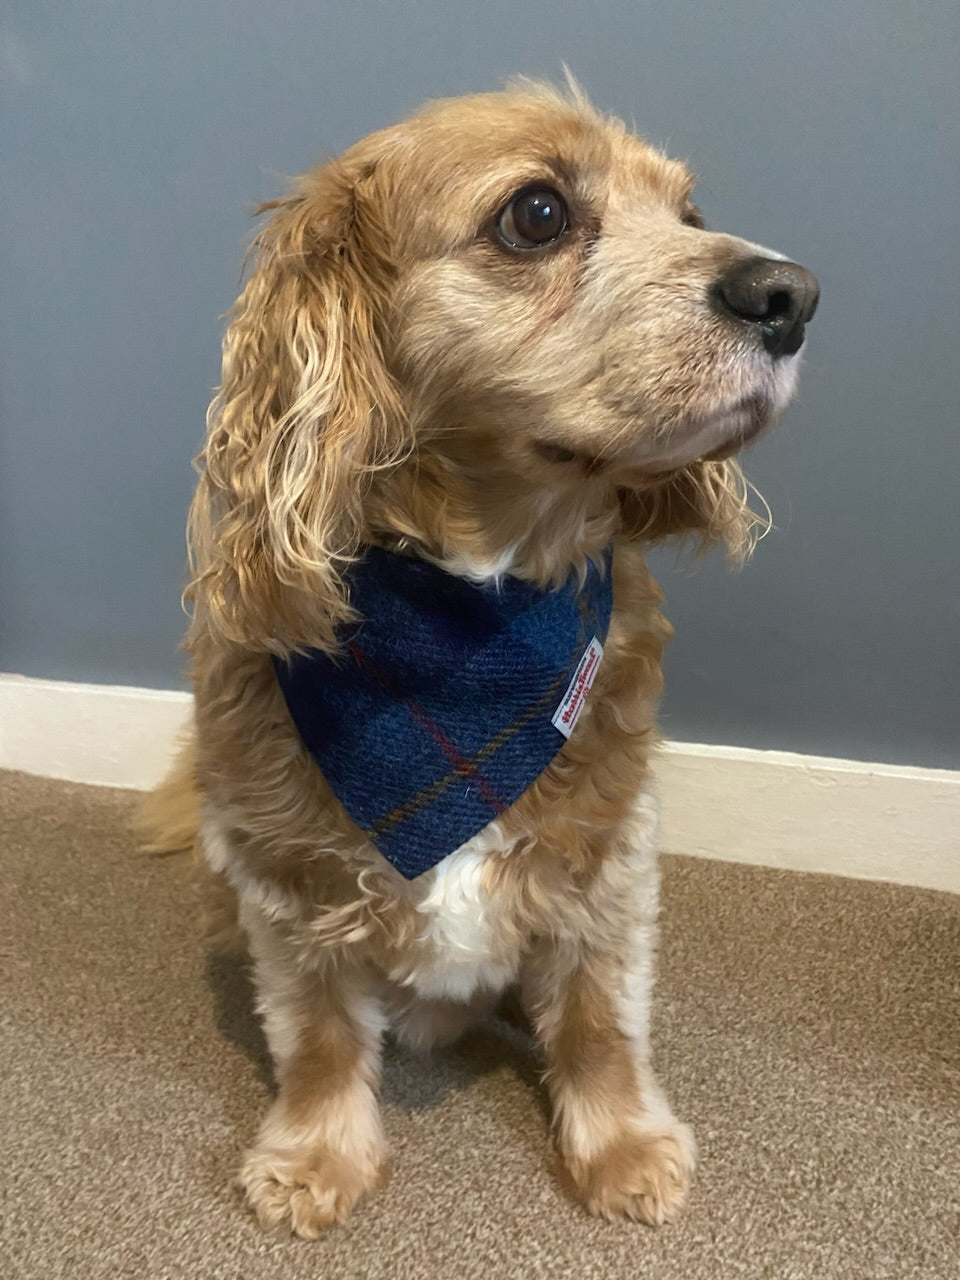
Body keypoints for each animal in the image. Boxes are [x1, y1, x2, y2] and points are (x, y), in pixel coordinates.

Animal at [142, 82, 819, 1239]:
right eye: (536, 214)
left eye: (689, 211)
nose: (794, 293)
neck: (477, 614)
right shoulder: (287, 877)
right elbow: (319, 1034)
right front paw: (313, 1155)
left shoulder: (607, 858)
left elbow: (598, 1019)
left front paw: (623, 1146)